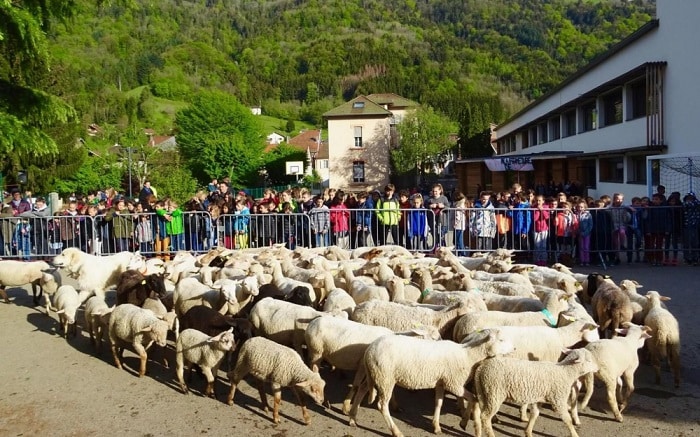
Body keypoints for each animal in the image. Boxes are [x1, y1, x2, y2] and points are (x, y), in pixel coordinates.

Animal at [348, 328, 516, 436]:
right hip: (385, 377)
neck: (468, 355)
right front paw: (466, 423)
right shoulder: (454, 383)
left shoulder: (442, 382)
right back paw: (396, 431)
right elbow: (474, 399)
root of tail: (370, 349)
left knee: (362, 389)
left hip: (375, 374)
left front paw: (436, 426)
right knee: (382, 405)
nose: (514, 348)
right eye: (501, 340)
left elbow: (438, 404)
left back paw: (352, 418)